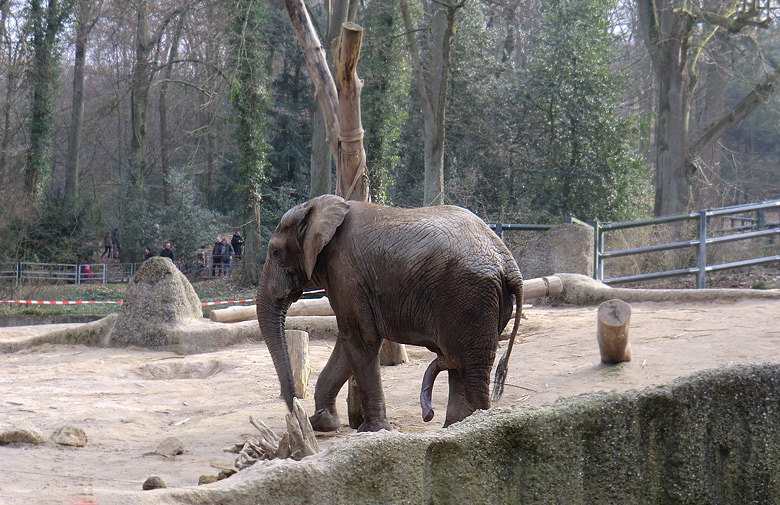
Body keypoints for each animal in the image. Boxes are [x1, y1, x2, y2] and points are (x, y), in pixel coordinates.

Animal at [258, 195, 524, 432]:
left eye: (276, 253)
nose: (298, 412)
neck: (316, 208)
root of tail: (510, 264)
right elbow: (347, 343)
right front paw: (323, 422)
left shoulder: (345, 273)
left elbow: (360, 339)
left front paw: (372, 431)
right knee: (459, 364)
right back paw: (452, 428)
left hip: (468, 296)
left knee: (469, 365)